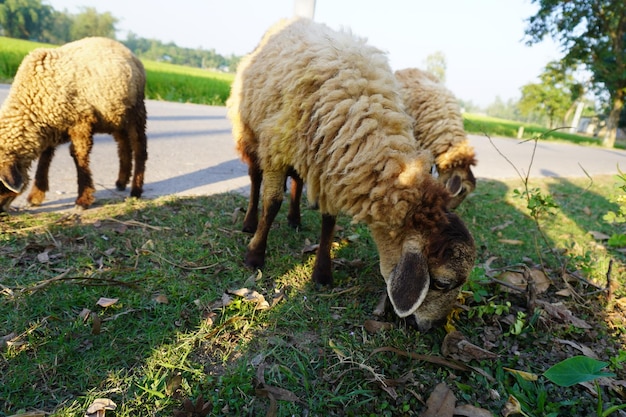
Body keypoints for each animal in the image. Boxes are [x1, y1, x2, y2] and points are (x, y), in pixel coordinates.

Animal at [0, 36, 147, 211]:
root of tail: (127, 50)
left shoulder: (81, 122)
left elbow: (79, 156)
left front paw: (83, 199)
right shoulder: (51, 127)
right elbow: (45, 158)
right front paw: (36, 196)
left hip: (136, 111)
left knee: (140, 149)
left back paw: (136, 190)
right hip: (115, 116)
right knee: (123, 146)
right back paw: (121, 181)